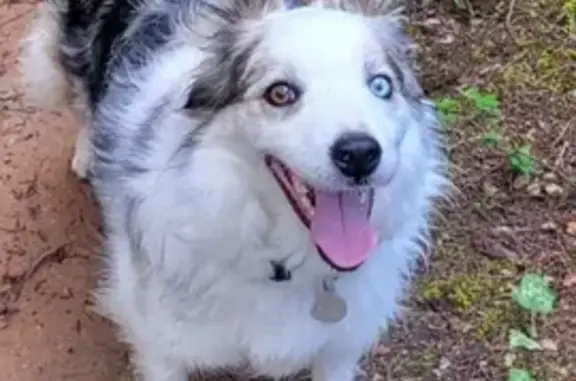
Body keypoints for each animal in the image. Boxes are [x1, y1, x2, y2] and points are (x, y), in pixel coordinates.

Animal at [19, 0, 450, 378]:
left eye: (380, 85)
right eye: (280, 93)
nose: (360, 154)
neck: (282, 259)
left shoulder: (340, 345)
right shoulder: (159, 343)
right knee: (78, 93)